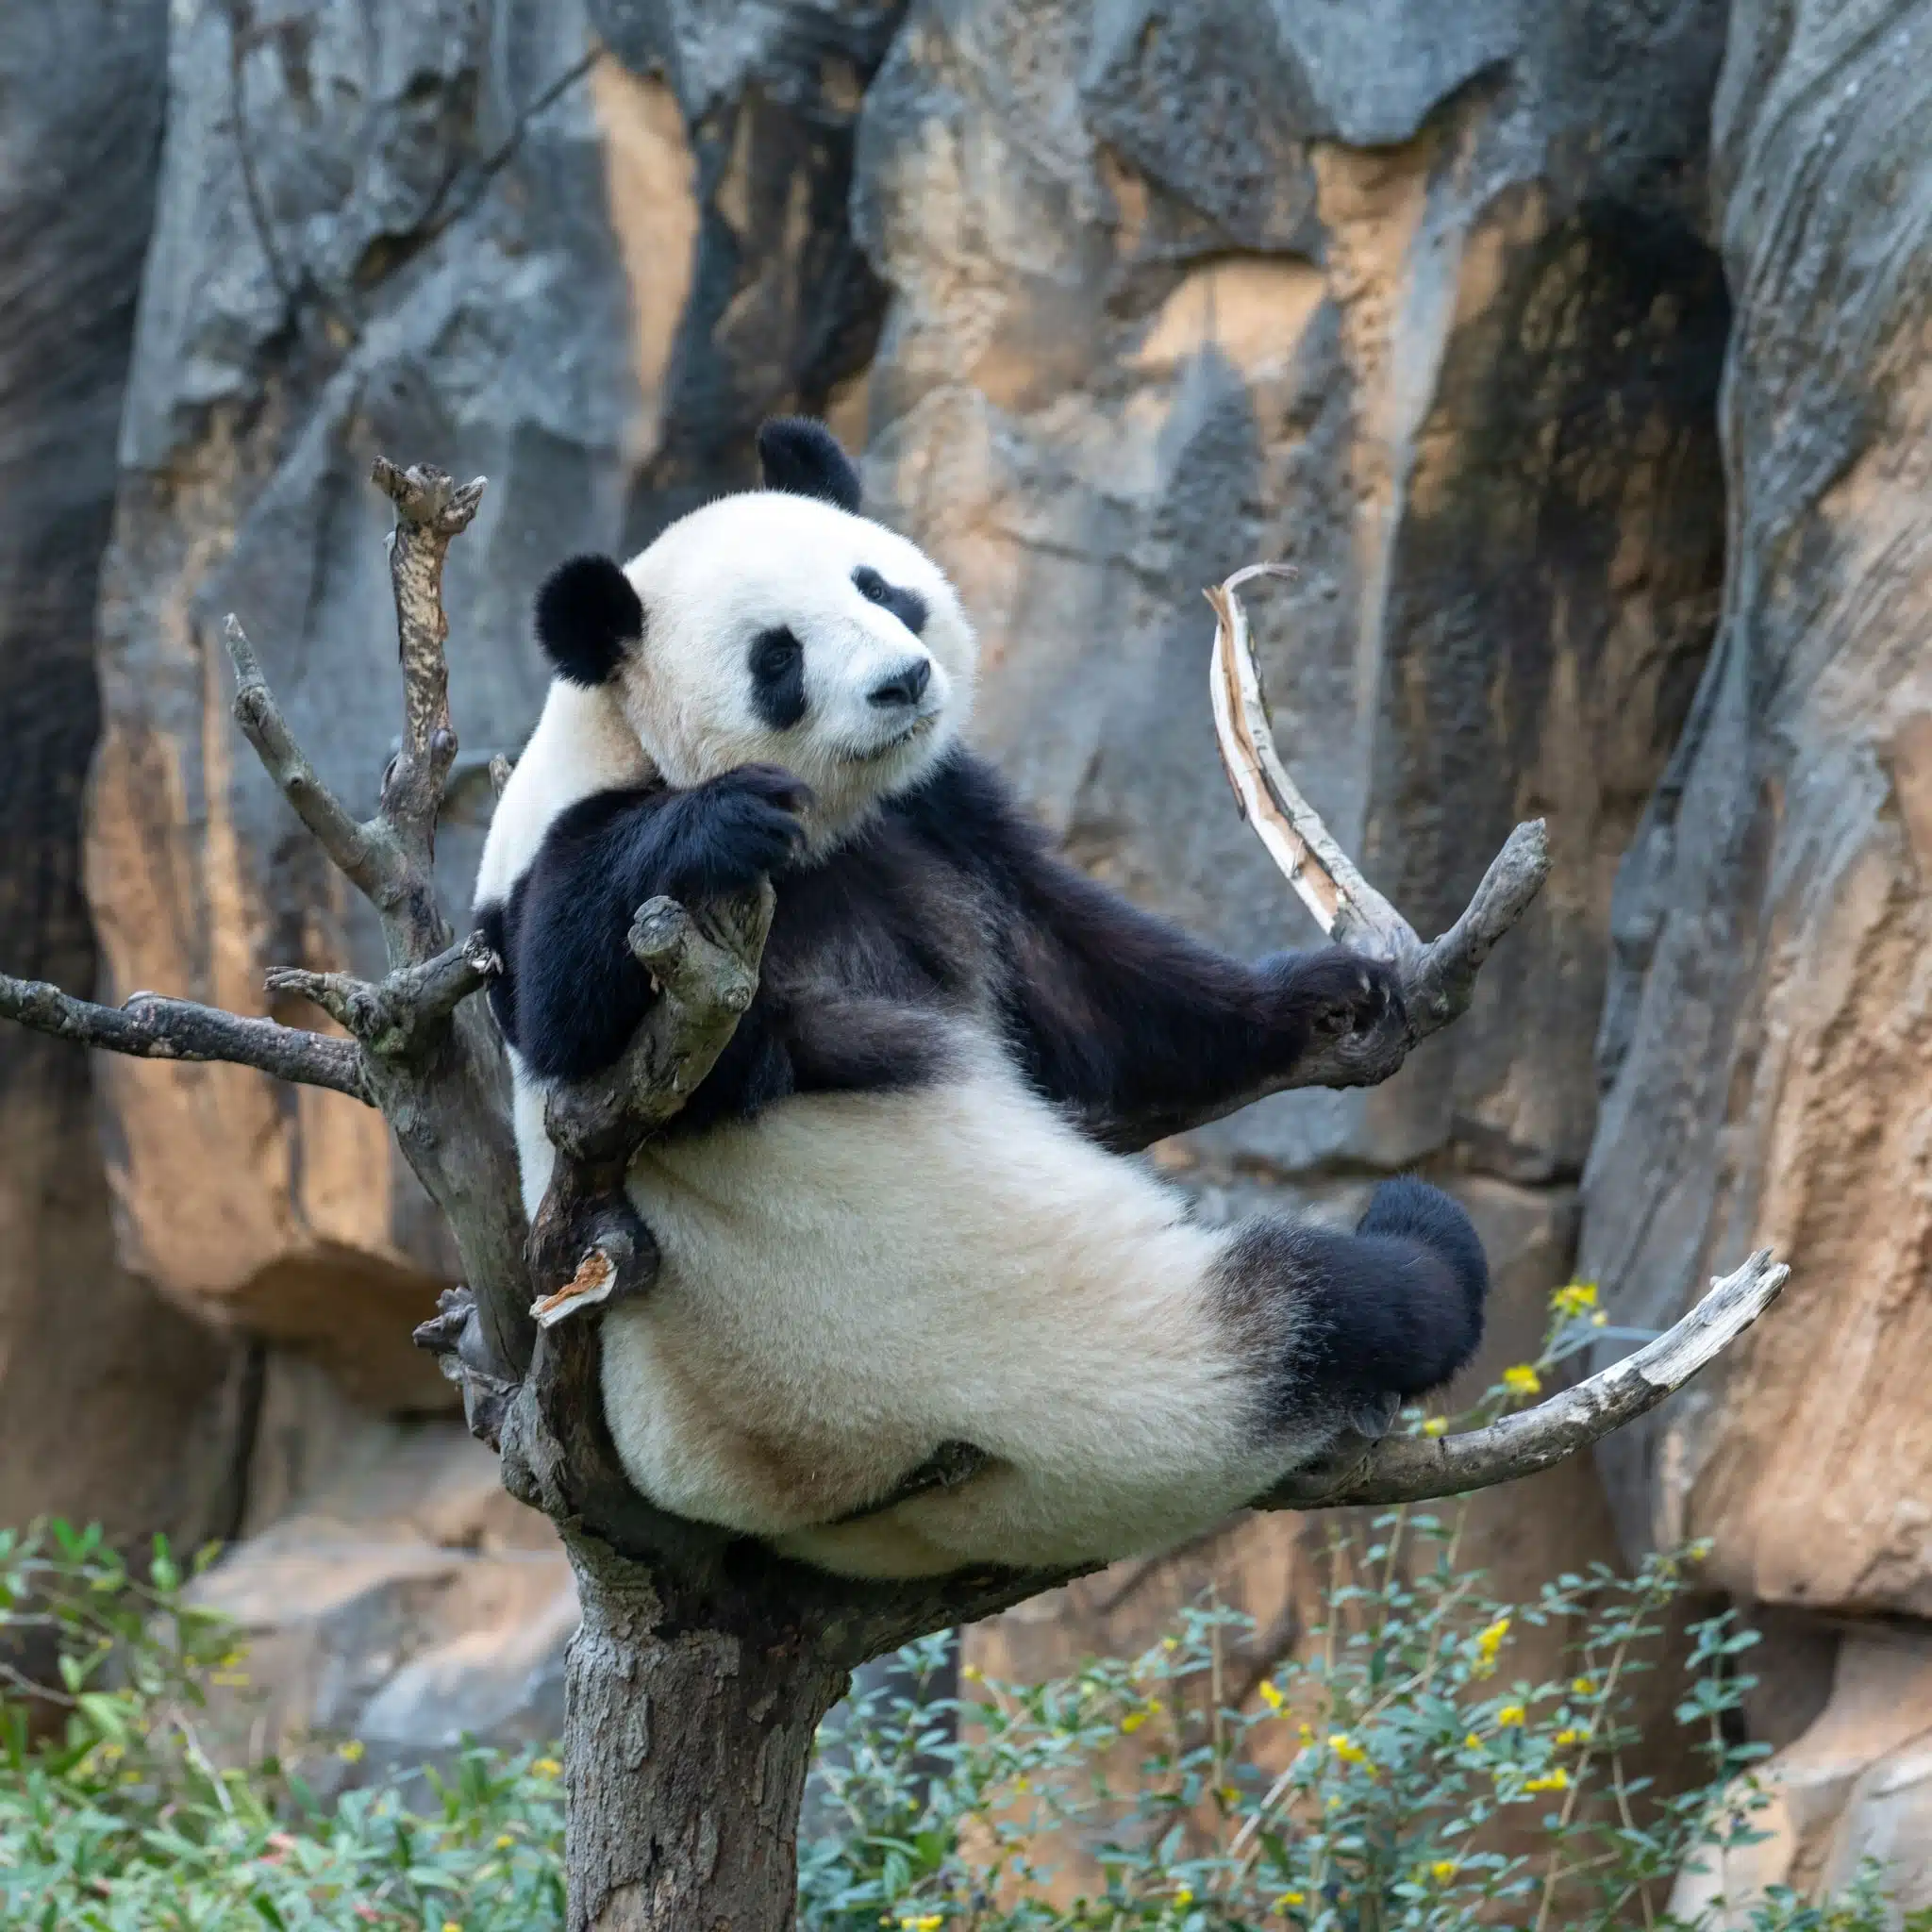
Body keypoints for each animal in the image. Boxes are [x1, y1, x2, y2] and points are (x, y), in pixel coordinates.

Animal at [472, 418, 1489, 1581]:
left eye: (879, 587)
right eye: (777, 657)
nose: (905, 680)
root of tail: (869, 1517)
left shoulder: (932, 814)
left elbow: (1085, 986)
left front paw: (1329, 1000)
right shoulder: (571, 869)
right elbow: (563, 1005)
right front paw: (718, 822)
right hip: (1081, 1385)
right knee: (1342, 1303)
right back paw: (1412, 1237)